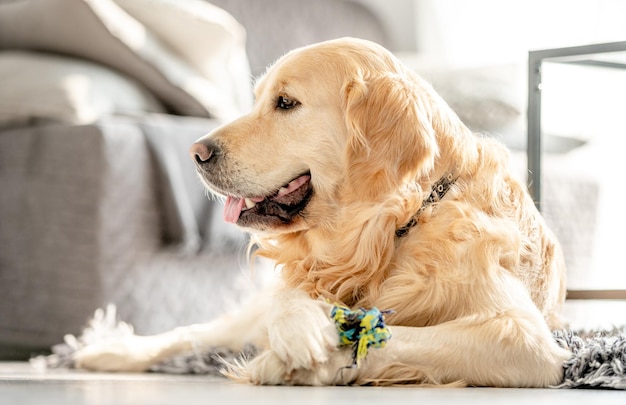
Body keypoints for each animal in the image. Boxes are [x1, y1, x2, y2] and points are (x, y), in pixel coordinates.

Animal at [74, 37, 572, 386]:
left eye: (286, 103)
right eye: (259, 99)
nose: (196, 152)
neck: (400, 224)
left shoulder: (523, 337)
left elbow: (398, 337)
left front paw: (303, 359)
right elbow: (291, 298)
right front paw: (298, 330)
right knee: (194, 332)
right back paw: (105, 352)